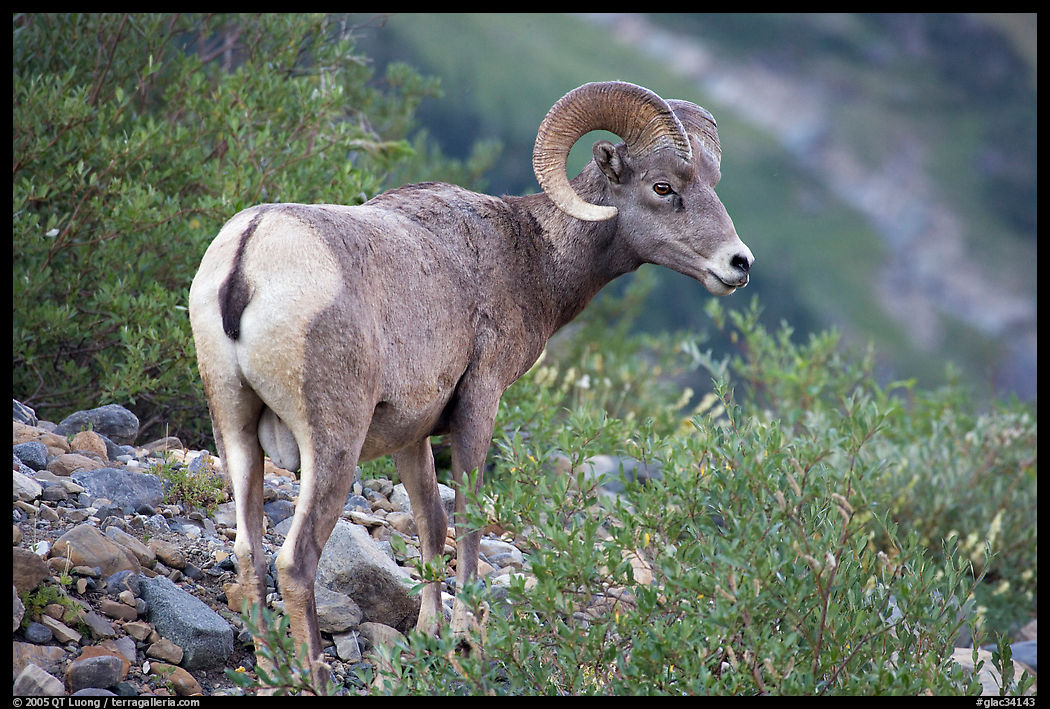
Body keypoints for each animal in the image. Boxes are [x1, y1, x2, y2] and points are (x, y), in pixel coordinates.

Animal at [188, 80, 753, 683]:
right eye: (663, 186)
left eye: (712, 184)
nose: (738, 264)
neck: (529, 256)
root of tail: (249, 256)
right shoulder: (478, 406)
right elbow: (470, 520)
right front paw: (465, 643)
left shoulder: (411, 433)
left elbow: (431, 523)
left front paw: (428, 634)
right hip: (333, 444)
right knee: (295, 563)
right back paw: (314, 675)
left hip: (235, 430)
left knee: (250, 556)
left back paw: (272, 670)